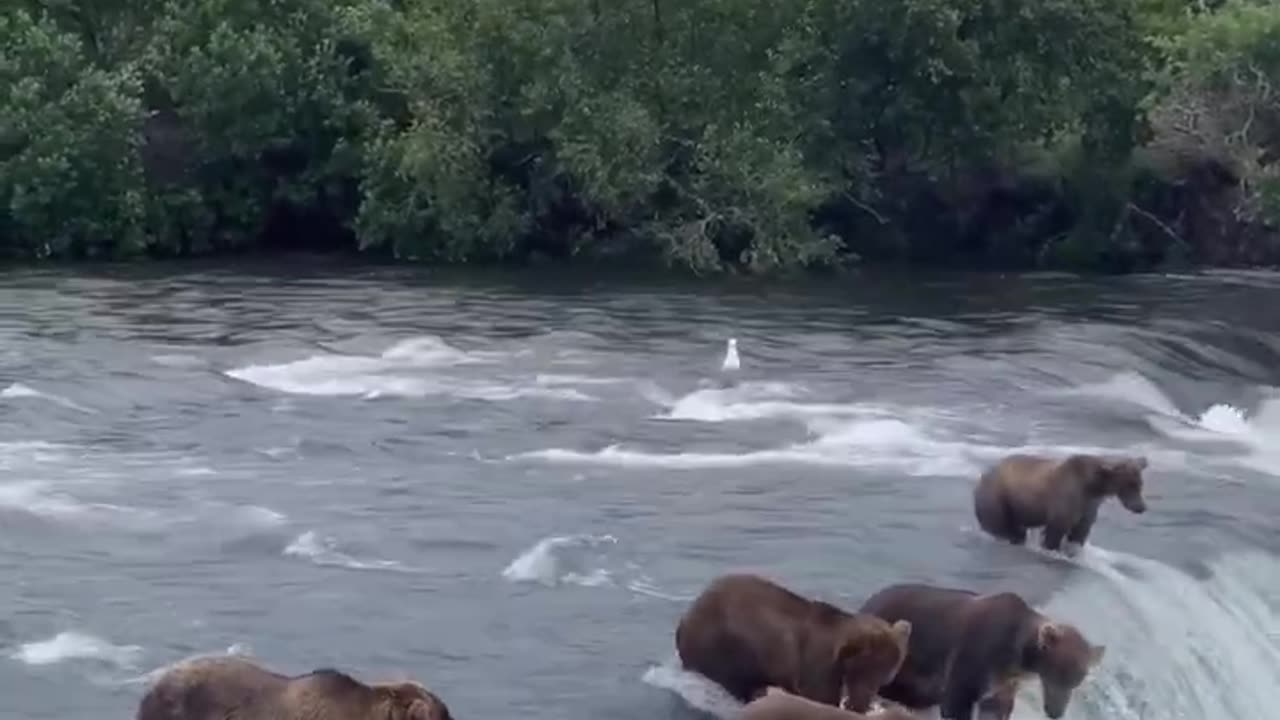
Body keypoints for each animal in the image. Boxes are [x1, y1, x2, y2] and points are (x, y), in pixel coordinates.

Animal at [675, 571, 916, 712]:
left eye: (886, 674)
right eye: (861, 671)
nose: (857, 705)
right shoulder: (817, 666)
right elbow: (820, 695)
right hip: (725, 643)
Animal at [855, 584, 1105, 717]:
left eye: (1078, 678)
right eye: (1059, 672)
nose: (1056, 712)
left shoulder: (1005, 681)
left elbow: (996, 707)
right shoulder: (976, 653)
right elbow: (958, 700)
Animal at [967, 450, 1152, 550]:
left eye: (1140, 484)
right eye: (1129, 485)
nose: (1141, 507)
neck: (1094, 486)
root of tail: (982, 477)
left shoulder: (1089, 504)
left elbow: (1081, 531)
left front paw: (1073, 549)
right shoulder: (1067, 497)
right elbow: (1056, 529)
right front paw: (1051, 547)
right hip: (998, 499)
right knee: (1000, 527)